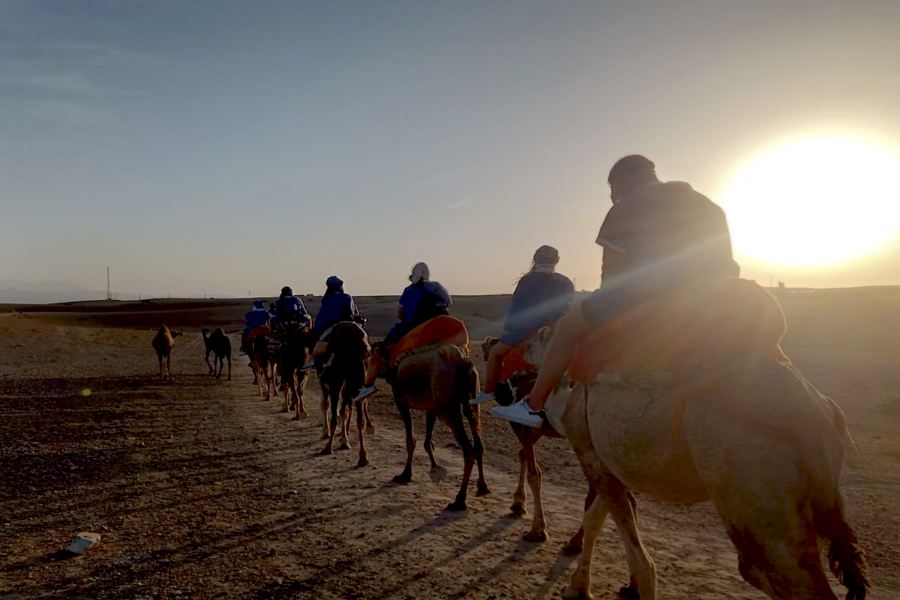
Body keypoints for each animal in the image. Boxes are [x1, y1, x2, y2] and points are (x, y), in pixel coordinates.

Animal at [318, 322, 374, 466]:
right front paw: (343, 441)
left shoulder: (332, 382)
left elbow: (333, 411)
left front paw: (329, 444)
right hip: (356, 380)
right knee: (357, 417)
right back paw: (362, 456)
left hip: (342, 381)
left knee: (338, 410)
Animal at [388, 342, 488, 510]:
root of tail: (461, 360)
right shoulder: (431, 407)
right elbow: (428, 442)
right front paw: (435, 467)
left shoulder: (400, 397)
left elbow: (410, 440)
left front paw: (405, 474)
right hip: (474, 397)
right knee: (478, 443)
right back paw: (482, 487)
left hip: (447, 405)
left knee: (469, 451)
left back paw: (459, 500)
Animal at [486, 336, 592, 552]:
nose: (499, 388)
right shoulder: (534, 429)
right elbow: (522, 455)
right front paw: (518, 503)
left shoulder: (521, 425)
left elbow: (535, 473)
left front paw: (537, 530)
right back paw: (577, 540)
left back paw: (576, 540)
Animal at [524, 282, 868, 600]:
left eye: (541, 335)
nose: (525, 346)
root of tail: (813, 410)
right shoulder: (609, 465)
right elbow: (594, 518)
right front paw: (576, 587)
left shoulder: (589, 451)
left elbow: (642, 562)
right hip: (811, 495)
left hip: (754, 487)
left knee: (770, 571)